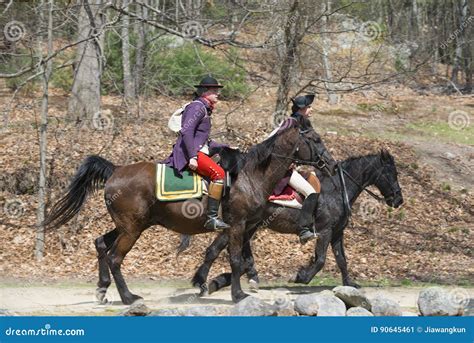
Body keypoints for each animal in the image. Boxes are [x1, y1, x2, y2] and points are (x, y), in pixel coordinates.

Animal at [42, 122, 336, 306]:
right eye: (316, 139)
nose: (331, 164)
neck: (251, 176)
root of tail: (116, 170)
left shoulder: (245, 227)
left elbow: (239, 260)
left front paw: (217, 283)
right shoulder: (238, 225)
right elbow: (236, 260)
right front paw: (237, 294)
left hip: (130, 226)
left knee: (101, 243)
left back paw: (102, 291)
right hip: (132, 229)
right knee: (115, 257)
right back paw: (128, 297)